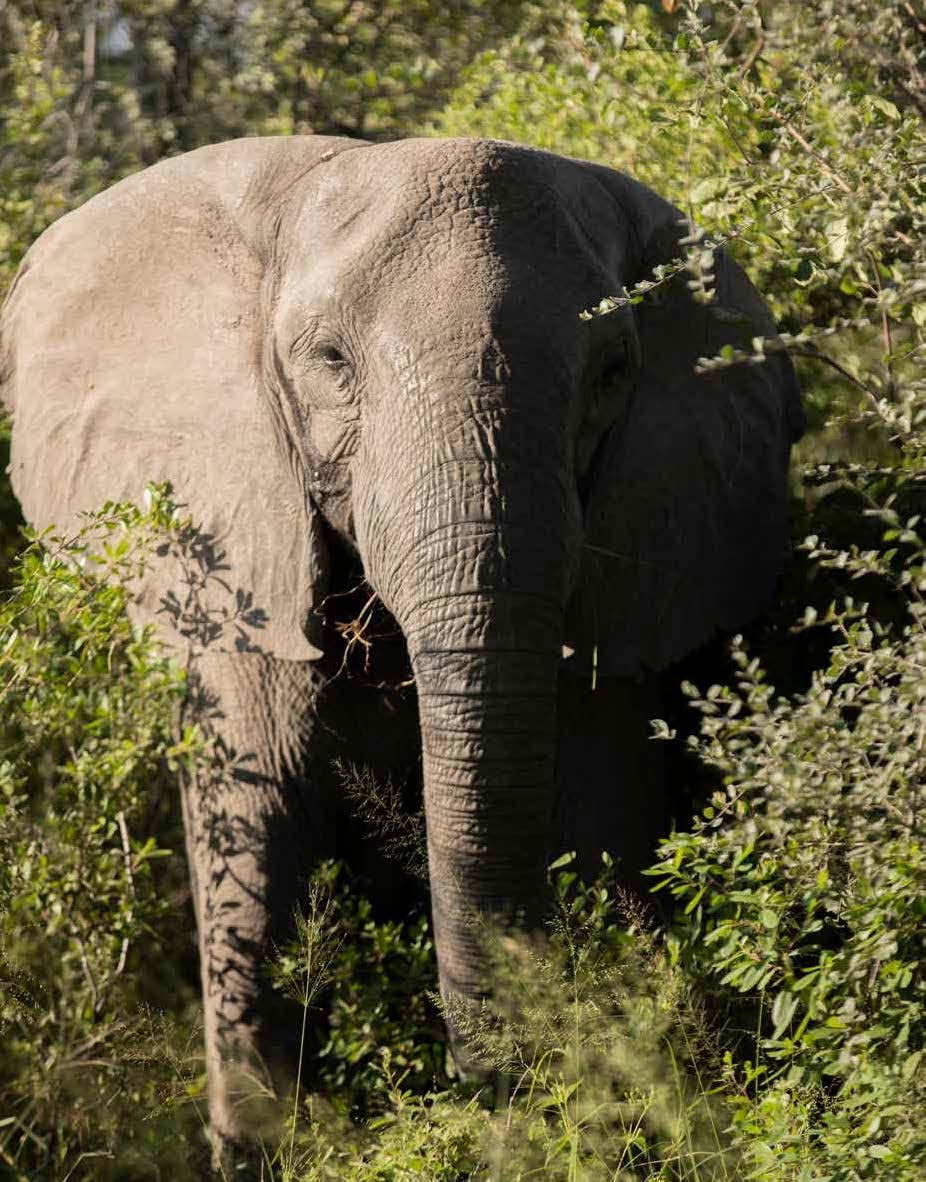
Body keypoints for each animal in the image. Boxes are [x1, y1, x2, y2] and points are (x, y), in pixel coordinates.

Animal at [0, 134, 804, 1158]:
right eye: (329, 362)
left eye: (614, 371)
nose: (499, 1086)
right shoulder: (238, 540)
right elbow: (254, 823)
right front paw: (260, 1144)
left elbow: (604, 812)